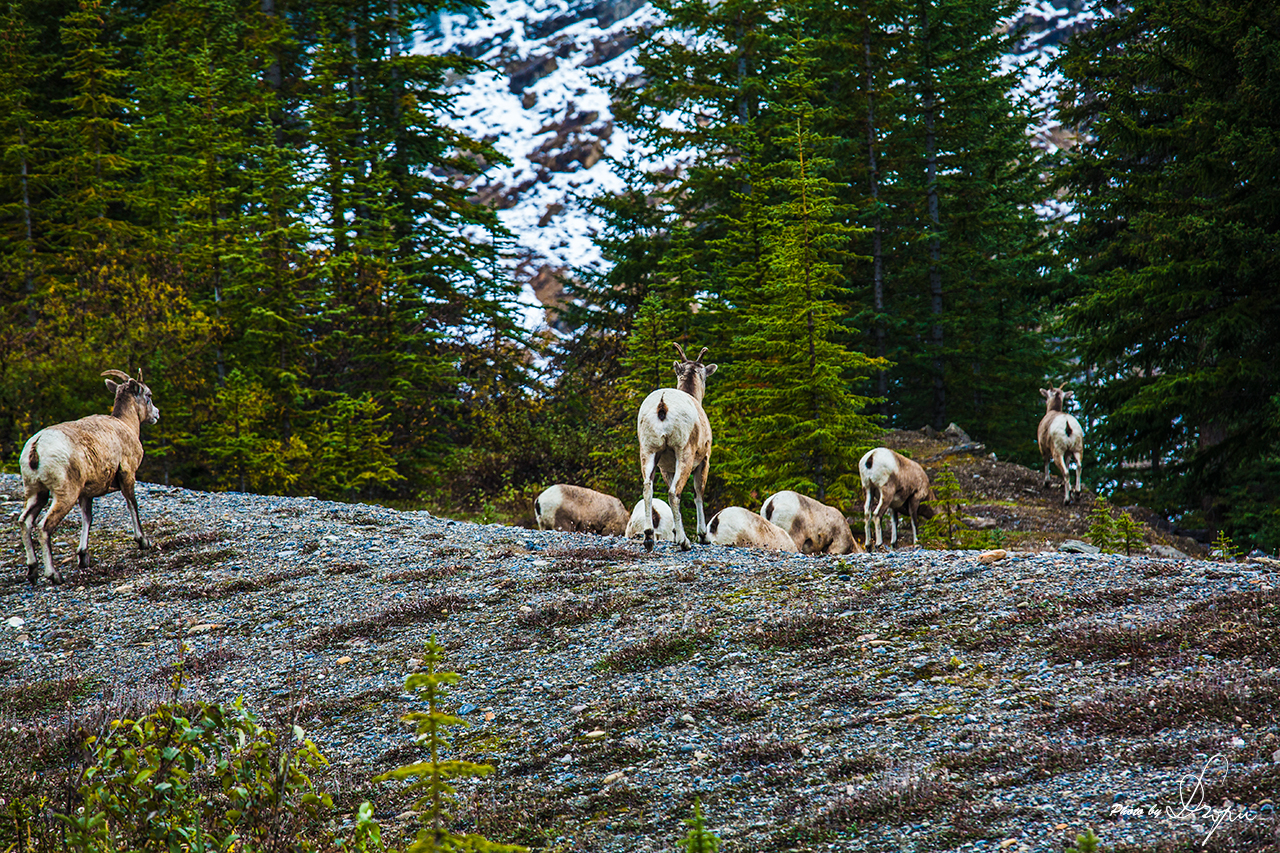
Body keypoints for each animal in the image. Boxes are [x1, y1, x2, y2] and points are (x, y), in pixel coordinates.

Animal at [17, 366, 160, 584]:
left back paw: (32, 571)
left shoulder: (86, 494)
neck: (126, 425)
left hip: (36, 493)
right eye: (149, 395)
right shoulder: (128, 475)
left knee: (25, 522)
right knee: (44, 527)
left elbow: (87, 519)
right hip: (65, 495)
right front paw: (143, 541)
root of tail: (36, 446)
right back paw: (54, 575)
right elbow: (132, 505)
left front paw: (83, 558)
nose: (157, 414)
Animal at [634, 340, 716, 550]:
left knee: (647, 486)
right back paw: (684, 542)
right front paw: (703, 536)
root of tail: (662, 405)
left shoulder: (666, 467)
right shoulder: (704, 459)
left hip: (648, 450)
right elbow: (698, 493)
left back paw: (648, 536)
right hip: (684, 452)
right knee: (674, 492)